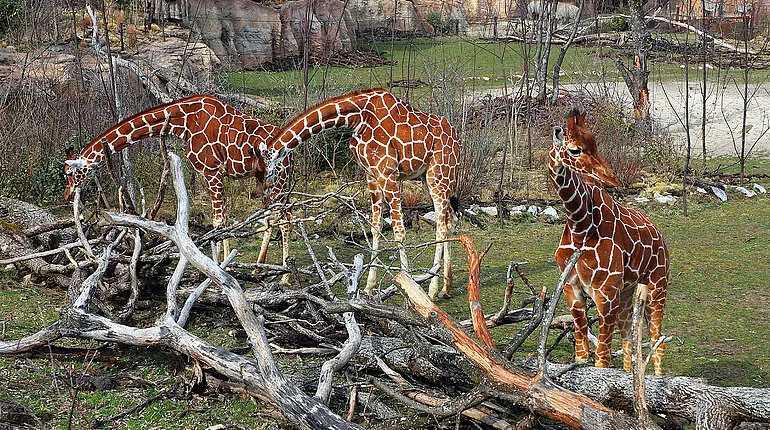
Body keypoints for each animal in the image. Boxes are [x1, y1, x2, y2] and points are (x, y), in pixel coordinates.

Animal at [61, 94, 292, 278]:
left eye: (69, 173)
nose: (67, 194)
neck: (183, 122)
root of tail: (290, 155)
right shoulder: (212, 174)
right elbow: (223, 220)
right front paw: (224, 266)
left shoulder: (211, 171)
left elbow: (218, 222)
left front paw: (218, 269)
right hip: (272, 181)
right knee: (273, 215)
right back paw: (259, 268)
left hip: (278, 179)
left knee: (285, 217)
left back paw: (285, 277)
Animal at [260, 86, 460, 298]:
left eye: (270, 171)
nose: (265, 197)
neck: (357, 118)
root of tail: (458, 140)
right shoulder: (371, 175)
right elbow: (375, 228)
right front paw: (369, 286)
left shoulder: (388, 174)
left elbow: (399, 231)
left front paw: (409, 286)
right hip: (427, 177)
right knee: (451, 220)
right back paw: (446, 287)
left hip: (439, 175)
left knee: (441, 225)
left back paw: (432, 290)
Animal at [544, 110, 664, 376]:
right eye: (575, 150)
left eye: (595, 143)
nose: (612, 178)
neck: (579, 224)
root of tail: (659, 233)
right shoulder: (572, 289)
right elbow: (581, 354)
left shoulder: (605, 292)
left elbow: (602, 359)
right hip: (628, 290)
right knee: (629, 337)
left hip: (657, 285)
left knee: (657, 339)